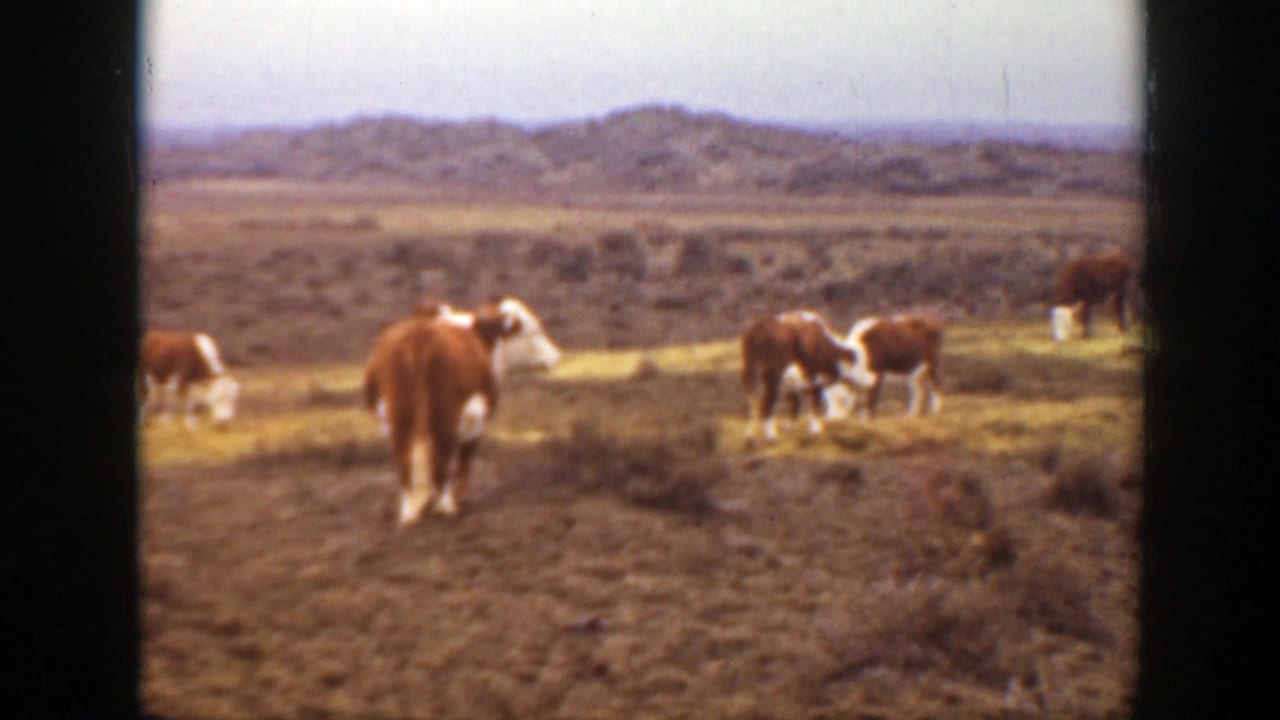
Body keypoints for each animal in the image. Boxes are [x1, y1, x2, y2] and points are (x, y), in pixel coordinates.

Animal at [740, 310, 872, 444]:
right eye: (860, 363)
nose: (870, 381)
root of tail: (762, 324)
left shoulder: (795, 380)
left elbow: (796, 402)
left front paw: (790, 427)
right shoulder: (813, 373)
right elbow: (814, 400)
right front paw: (816, 431)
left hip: (749, 369)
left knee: (750, 401)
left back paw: (749, 438)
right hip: (773, 372)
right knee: (767, 402)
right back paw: (771, 436)